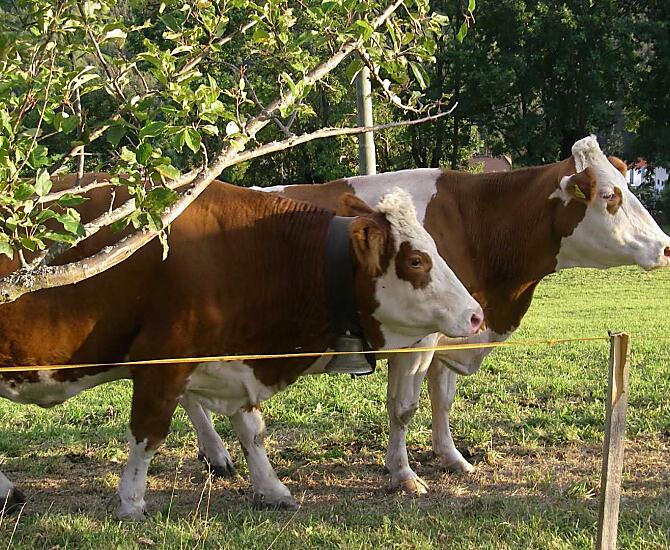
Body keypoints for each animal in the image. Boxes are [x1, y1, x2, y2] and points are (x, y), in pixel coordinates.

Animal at [0, 181, 484, 519]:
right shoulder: (161, 363)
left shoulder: (238, 365)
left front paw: (271, 489)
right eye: (416, 261)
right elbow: (148, 434)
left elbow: (252, 430)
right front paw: (132, 501)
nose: (475, 315)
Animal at [185, 135, 670, 494]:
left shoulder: (454, 332)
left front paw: (452, 457)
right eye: (609, 195)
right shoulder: (418, 339)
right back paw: (221, 454)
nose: (665, 246)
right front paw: (402, 474)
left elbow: (443, 398)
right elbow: (404, 407)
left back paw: (215, 455)